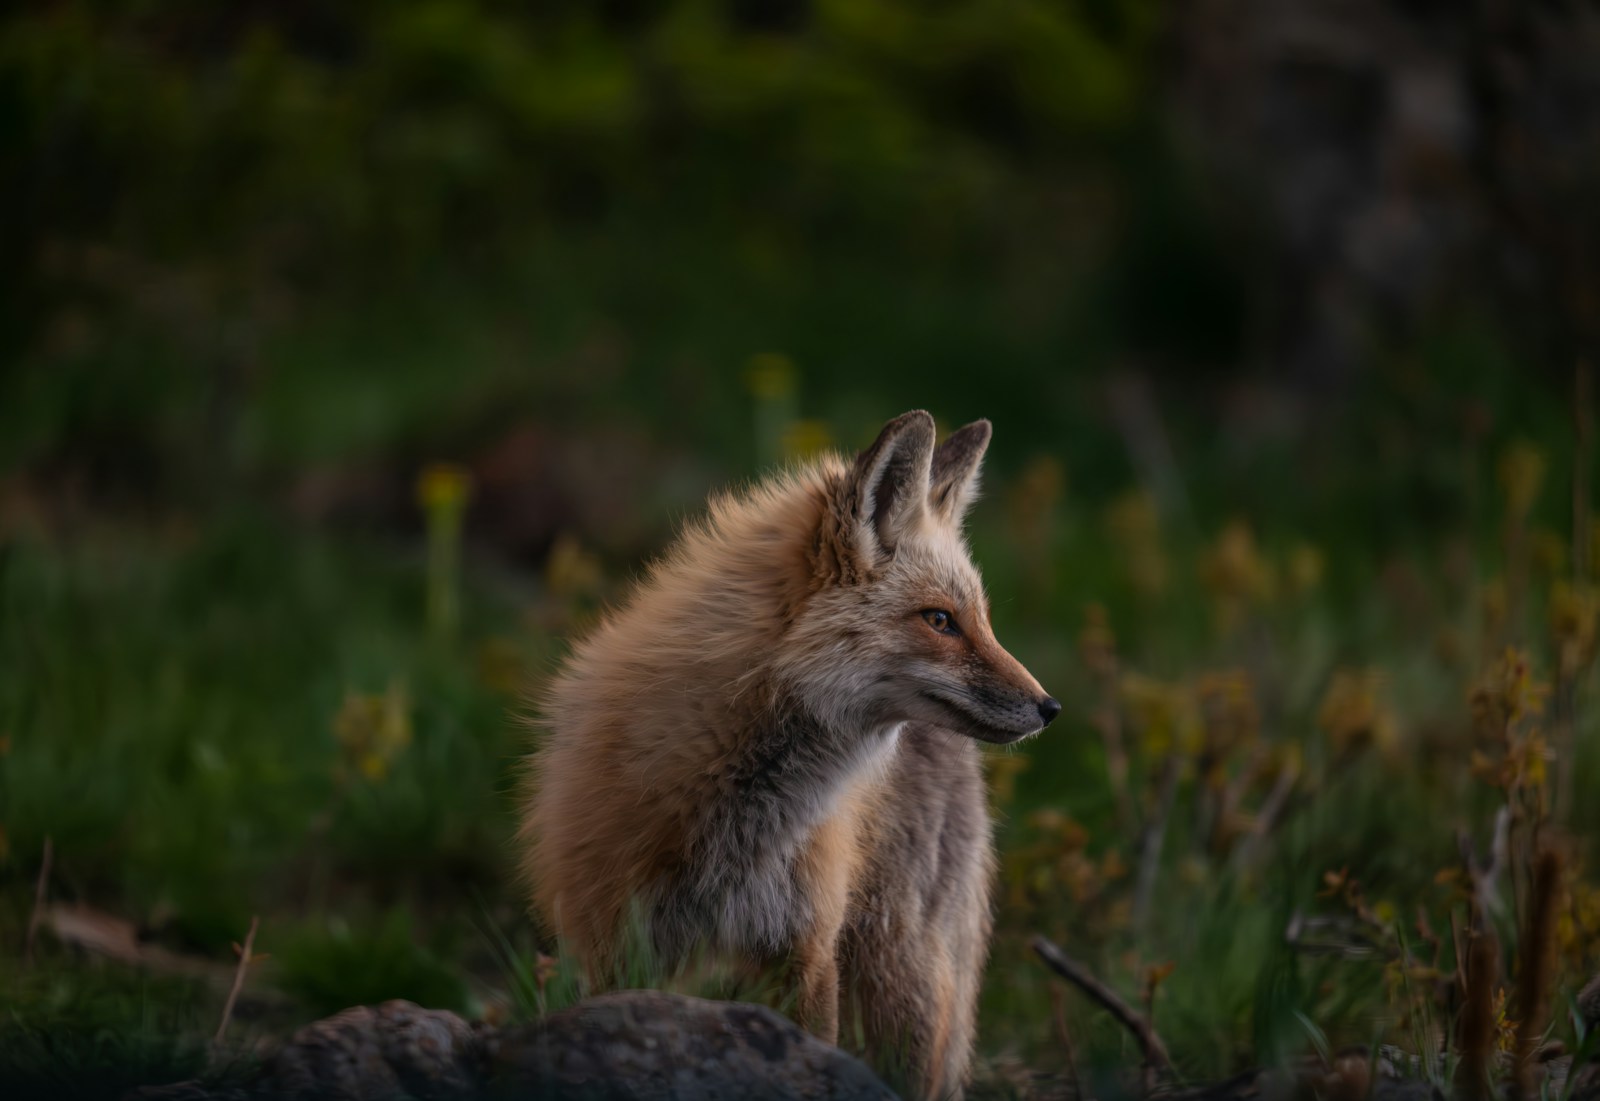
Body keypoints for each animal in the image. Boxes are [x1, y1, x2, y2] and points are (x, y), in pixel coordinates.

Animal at [519, 410, 1059, 1098]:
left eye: (983, 621)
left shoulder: (804, 950)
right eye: (940, 620)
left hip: (899, 980)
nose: (1049, 707)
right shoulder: (611, 940)